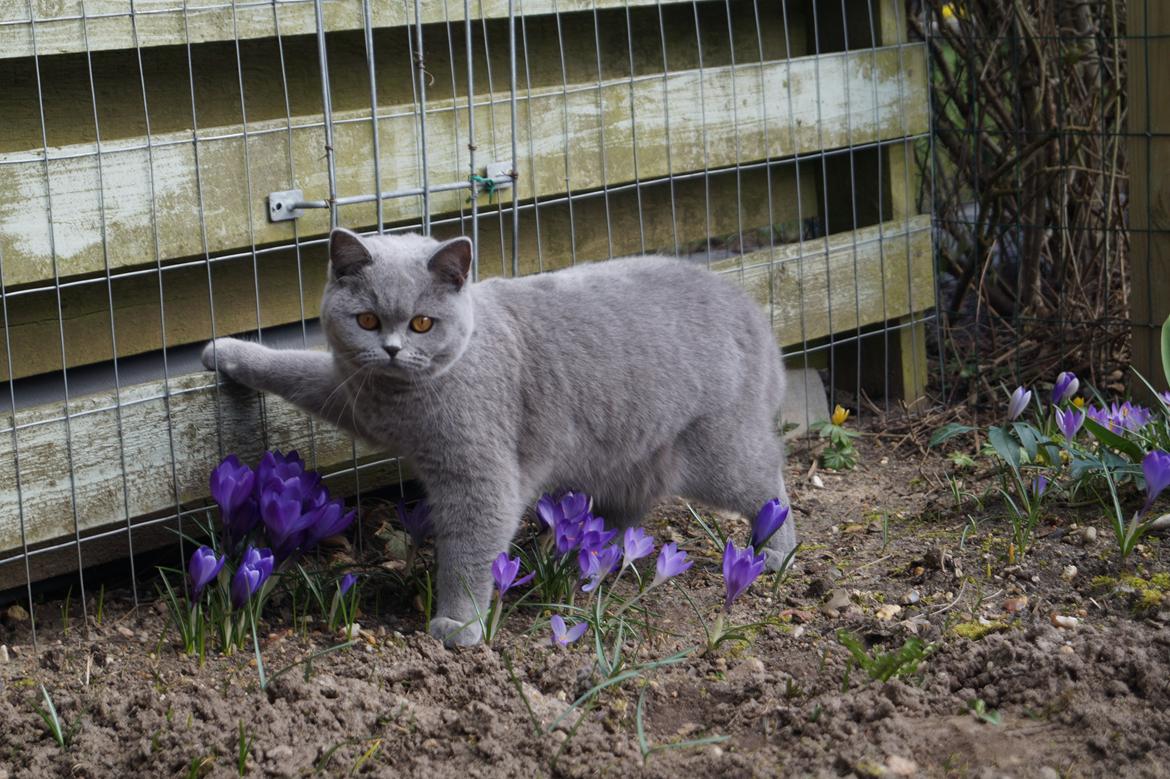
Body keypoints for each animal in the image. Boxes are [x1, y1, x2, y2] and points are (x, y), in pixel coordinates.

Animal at [205, 228, 800, 645]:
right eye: (367, 320)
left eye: (422, 323)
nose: (393, 350)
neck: (404, 398)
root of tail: (751, 310)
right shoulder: (353, 394)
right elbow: (296, 369)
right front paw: (226, 353)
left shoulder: (478, 474)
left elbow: (469, 551)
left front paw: (457, 624)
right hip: (629, 453)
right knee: (626, 512)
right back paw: (590, 553)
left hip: (718, 447)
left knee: (768, 485)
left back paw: (773, 553)